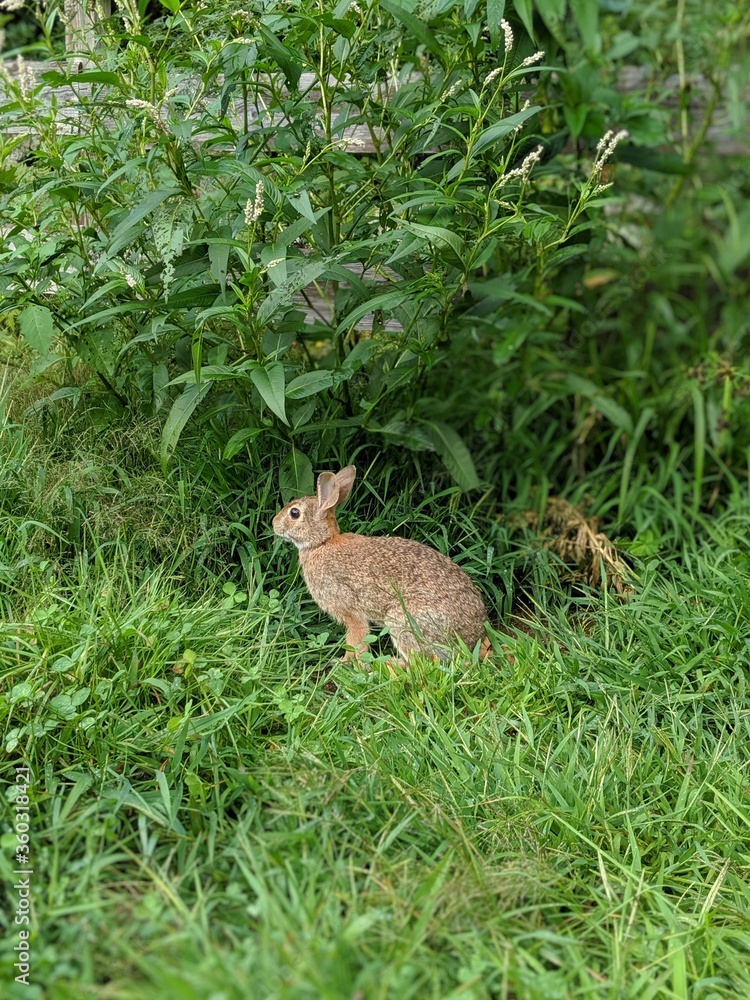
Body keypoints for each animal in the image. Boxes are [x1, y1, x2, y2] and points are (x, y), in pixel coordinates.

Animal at [272, 464, 490, 664]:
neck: (322, 543)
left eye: (294, 513)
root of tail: (472, 637)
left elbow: (356, 639)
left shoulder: (350, 610)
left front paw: (344, 662)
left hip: (402, 621)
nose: (274, 523)